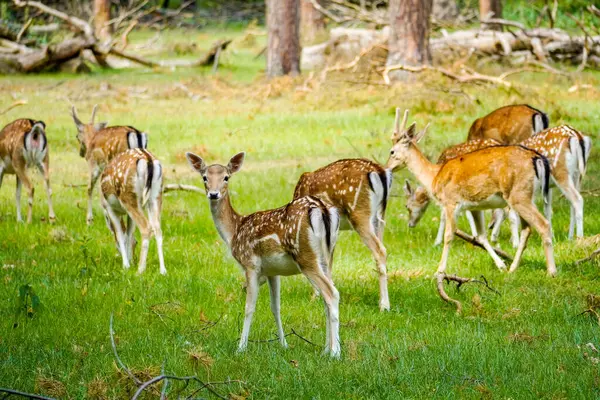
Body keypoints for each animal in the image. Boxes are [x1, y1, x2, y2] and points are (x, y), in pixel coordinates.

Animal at [101, 148, 165, 276]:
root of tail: (148, 159)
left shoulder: (109, 208)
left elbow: (120, 234)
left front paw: (126, 265)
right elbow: (129, 234)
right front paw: (130, 260)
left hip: (128, 196)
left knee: (146, 227)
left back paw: (140, 270)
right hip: (156, 195)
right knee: (157, 228)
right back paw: (163, 271)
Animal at [185, 152, 342, 358]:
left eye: (226, 177)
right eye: (204, 177)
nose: (213, 193)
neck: (234, 231)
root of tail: (322, 209)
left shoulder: (250, 264)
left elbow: (249, 307)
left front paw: (241, 347)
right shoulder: (272, 272)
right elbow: (276, 307)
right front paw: (284, 344)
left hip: (306, 257)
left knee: (332, 294)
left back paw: (335, 353)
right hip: (327, 256)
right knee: (327, 296)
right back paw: (326, 349)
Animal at [292, 158, 394, 310]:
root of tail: (380, 171)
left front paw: (315, 297)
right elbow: (328, 262)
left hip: (359, 212)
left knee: (380, 250)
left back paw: (384, 305)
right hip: (380, 216)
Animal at [386, 108, 556, 282]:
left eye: (392, 151)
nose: (387, 168)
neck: (435, 176)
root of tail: (537, 158)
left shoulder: (451, 202)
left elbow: (449, 235)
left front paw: (439, 271)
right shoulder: (475, 206)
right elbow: (481, 236)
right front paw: (501, 265)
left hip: (519, 195)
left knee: (543, 224)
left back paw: (551, 271)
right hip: (525, 195)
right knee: (527, 229)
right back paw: (513, 268)